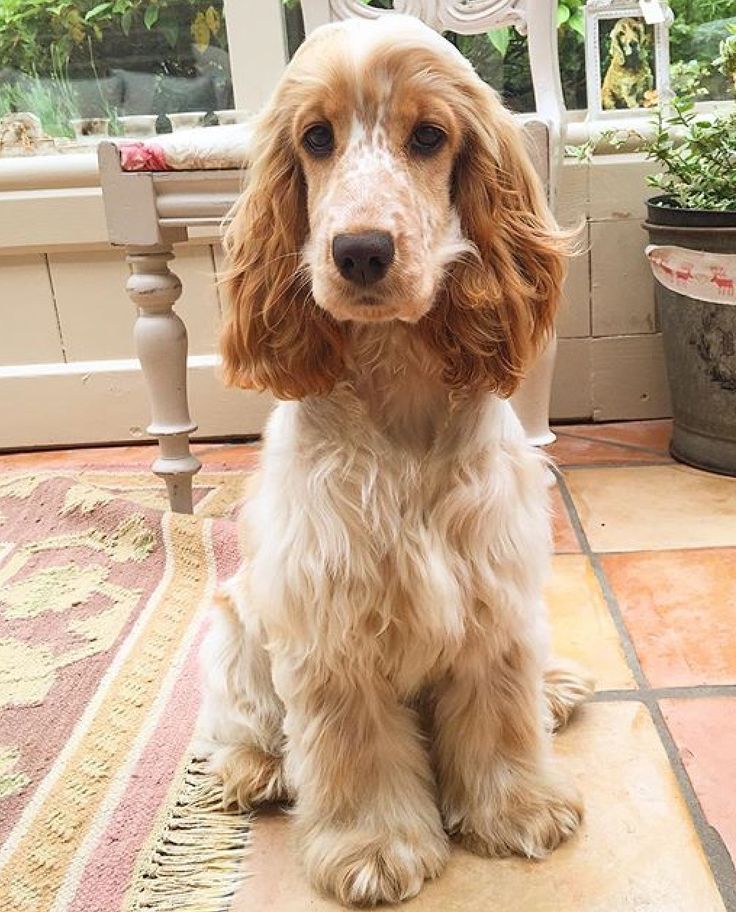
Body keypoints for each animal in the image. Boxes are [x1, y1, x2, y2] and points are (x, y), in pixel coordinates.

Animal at [200, 17, 592, 908]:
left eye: (428, 137)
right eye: (316, 137)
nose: (361, 252)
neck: (399, 383)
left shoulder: (493, 594)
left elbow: (502, 711)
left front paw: (518, 808)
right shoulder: (330, 621)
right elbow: (355, 748)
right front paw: (374, 845)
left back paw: (556, 688)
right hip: (237, 627)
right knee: (240, 719)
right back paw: (253, 770)